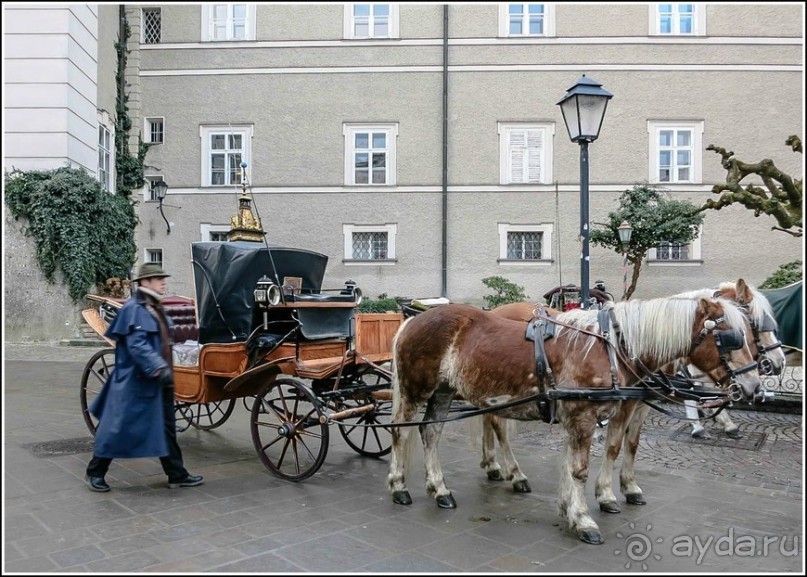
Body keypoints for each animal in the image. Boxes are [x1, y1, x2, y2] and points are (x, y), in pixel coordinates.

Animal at [388, 296, 760, 544]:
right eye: (729, 337)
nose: (754, 387)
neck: (615, 346)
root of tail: (411, 321)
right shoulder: (584, 415)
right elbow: (582, 467)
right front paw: (584, 518)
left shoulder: (599, 412)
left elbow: (593, 456)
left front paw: (573, 506)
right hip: (416, 389)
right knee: (400, 432)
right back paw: (399, 486)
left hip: (444, 392)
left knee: (431, 433)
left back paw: (440, 489)